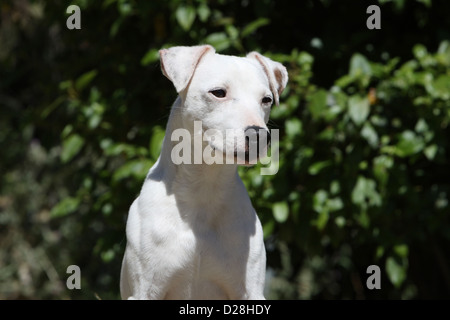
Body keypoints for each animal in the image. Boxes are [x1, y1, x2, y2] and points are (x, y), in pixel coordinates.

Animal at [119, 45, 288, 300]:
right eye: (218, 92)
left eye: (266, 99)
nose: (259, 135)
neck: (204, 187)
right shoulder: (145, 291)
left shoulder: (249, 291)